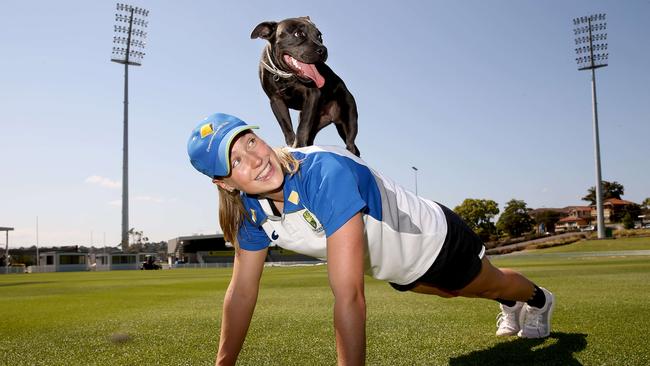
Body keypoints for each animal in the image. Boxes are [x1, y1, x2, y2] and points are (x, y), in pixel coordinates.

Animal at [249, 16, 360, 156]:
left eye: (319, 36)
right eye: (298, 34)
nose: (323, 50)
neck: (286, 75)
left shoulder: (312, 96)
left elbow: (302, 127)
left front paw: (298, 146)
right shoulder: (276, 101)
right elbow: (287, 127)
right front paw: (292, 146)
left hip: (349, 120)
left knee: (351, 144)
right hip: (316, 124)